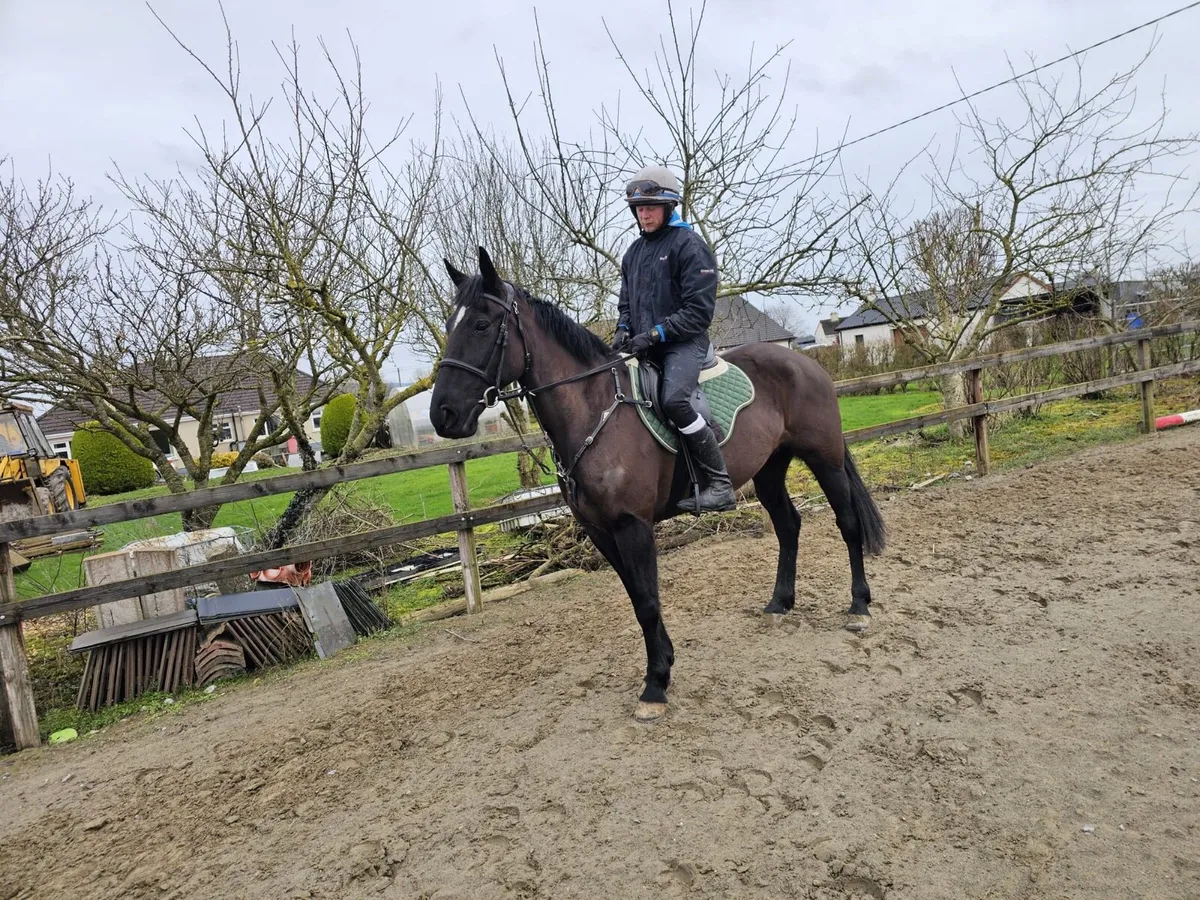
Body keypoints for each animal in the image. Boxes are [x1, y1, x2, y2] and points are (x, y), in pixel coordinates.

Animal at [430, 247, 886, 722]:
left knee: (848, 524)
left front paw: (654, 686)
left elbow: (649, 601)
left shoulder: (633, 526)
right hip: (769, 470)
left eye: (481, 325)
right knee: (788, 526)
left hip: (825, 461)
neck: (595, 409)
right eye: (451, 325)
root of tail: (807, 363)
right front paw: (663, 664)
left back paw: (859, 608)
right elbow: (637, 599)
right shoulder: (600, 531)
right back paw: (780, 603)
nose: (443, 414)